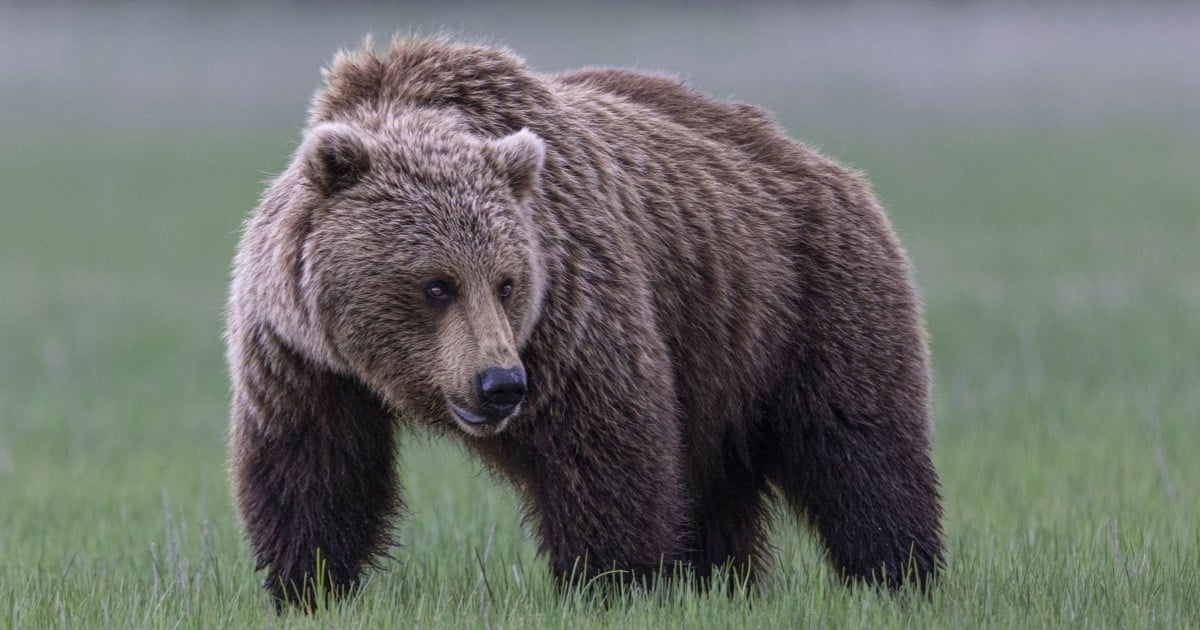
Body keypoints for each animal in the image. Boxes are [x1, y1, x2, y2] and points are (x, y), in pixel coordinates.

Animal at [223, 36, 936, 607]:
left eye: (508, 283)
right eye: (436, 284)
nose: (499, 384)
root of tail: (824, 165)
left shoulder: (571, 312)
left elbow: (605, 449)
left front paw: (612, 583)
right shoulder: (301, 356)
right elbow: (315, 472)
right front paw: (306, 585)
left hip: (806, 299)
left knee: (857, 448)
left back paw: (897, 575)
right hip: (721, 357)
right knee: (718, 483)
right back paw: (719, 581)